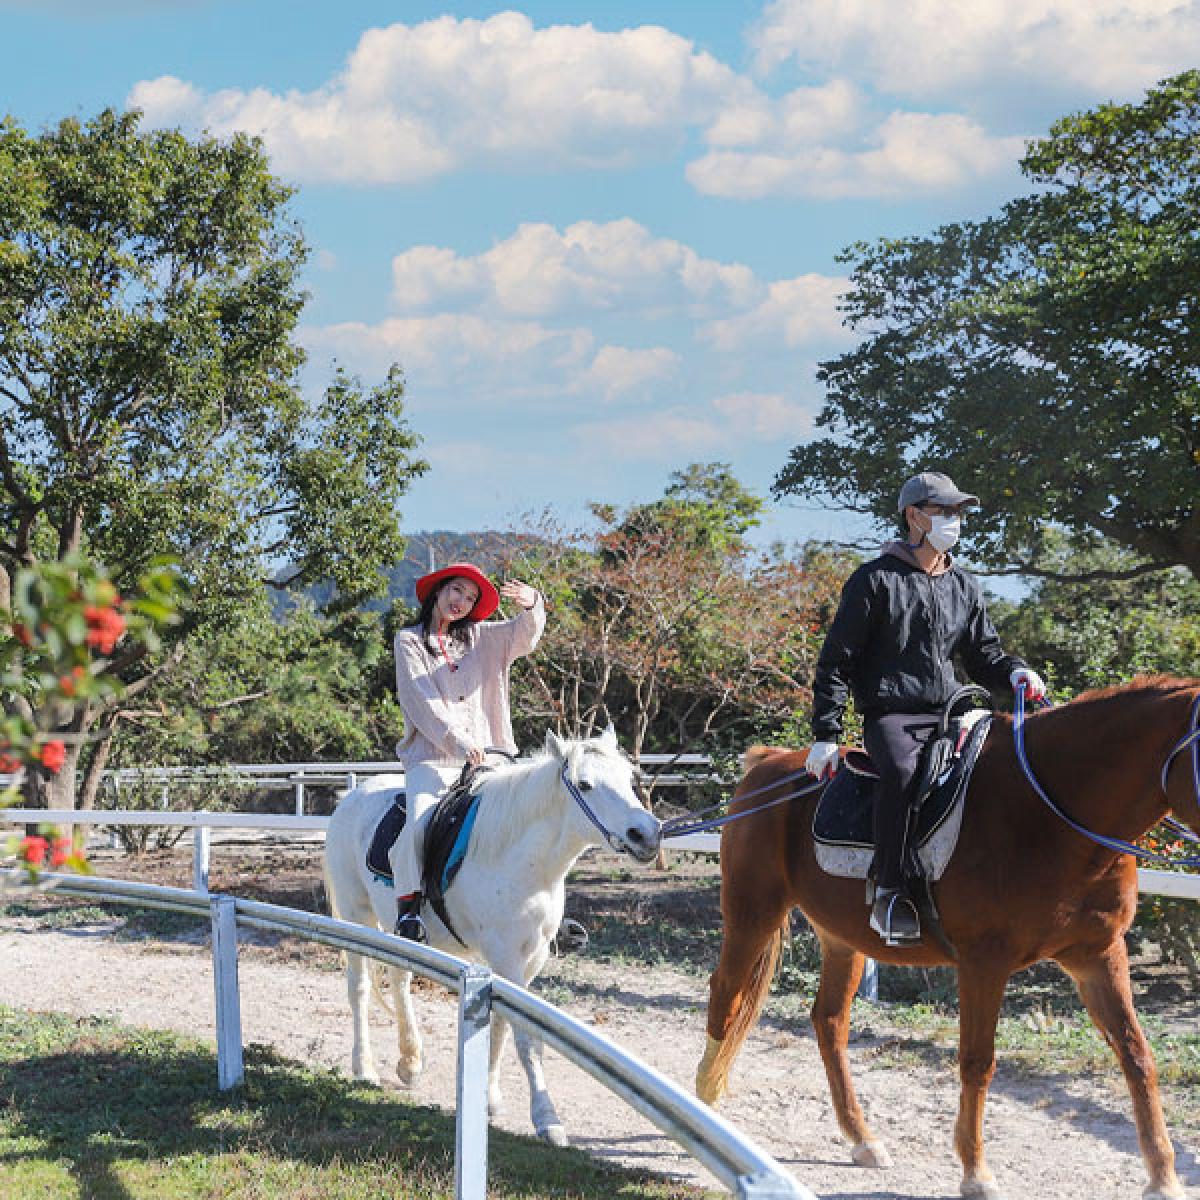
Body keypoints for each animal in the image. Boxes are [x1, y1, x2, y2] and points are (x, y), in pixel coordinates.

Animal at [324, 724, 662, 1147]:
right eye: (584, 784)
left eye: (630, 779)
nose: (646, 834)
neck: (520, 858)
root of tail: (350, 797)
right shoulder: (505, 956)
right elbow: (526, 1038)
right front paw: (547, 1119)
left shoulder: (528, 960)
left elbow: (502, 1024)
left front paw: (489, 1097)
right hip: (357, 916)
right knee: (360, 990)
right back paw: (365, 1068)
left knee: (400, 980)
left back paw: (410, 1062)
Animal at [696, 676, 1200, 1200]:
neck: (1049, 813)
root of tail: (769, 763)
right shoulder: (984, 962)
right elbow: (978, 1062)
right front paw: (976, 1173)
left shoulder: (1099, 955)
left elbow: (1137, 1056)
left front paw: (1163, 1177)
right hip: (753, 913)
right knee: (727, 994)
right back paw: (705, 1106)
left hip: (841, 939)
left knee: (829, 1021)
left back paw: (862, 1138)